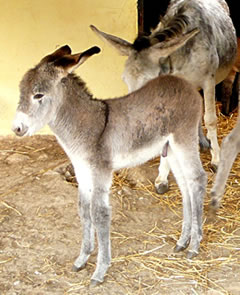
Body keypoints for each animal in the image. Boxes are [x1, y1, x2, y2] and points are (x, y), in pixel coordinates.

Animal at [12, 45, 206, 286]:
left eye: (38, 95)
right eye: (21, 91)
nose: (16, 128)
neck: (90, 125)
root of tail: (185, 83)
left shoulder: (101, 172)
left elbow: (99, 214)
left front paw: (99, 271)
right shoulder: (82, 172)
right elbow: (84, 210)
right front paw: (82, 258)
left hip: (184, 139)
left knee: (197, 179)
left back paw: (194, 246)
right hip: (171, 150)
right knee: (186, 186)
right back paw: (182, 242)